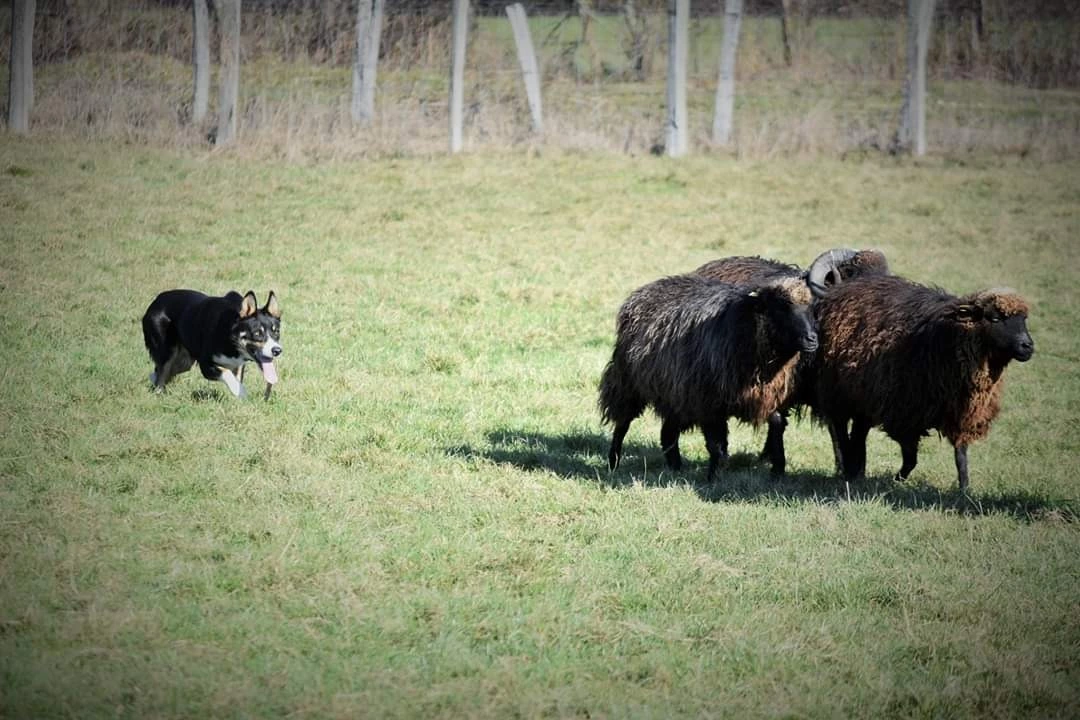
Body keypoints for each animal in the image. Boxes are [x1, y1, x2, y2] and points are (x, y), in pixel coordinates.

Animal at [598, 274, 818, 482]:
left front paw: (778, 470)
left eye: (811, 308)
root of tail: (644, 290)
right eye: (781, 307)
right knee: (623, 423)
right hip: (628, 383)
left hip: (675, 393)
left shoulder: (765, 396)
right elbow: (717, 445)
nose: (812, 339)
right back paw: (613, 462)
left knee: (667, 433)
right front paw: (714, 479)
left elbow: (777, 424)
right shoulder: (709, 403)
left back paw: (676, 468)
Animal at [812, 274, 1034, 490]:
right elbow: (911, 460)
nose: (1028, 346)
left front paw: (964, 490)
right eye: (995, 318)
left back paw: (856, 470)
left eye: (1024, 319)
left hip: (864, 396)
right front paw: (895, 481)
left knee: (859, 432)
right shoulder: (904, 416)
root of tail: (844, 287)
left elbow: (961, 457)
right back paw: (849, 469)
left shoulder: (960, 413)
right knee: (841, 431)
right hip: (837, 393)